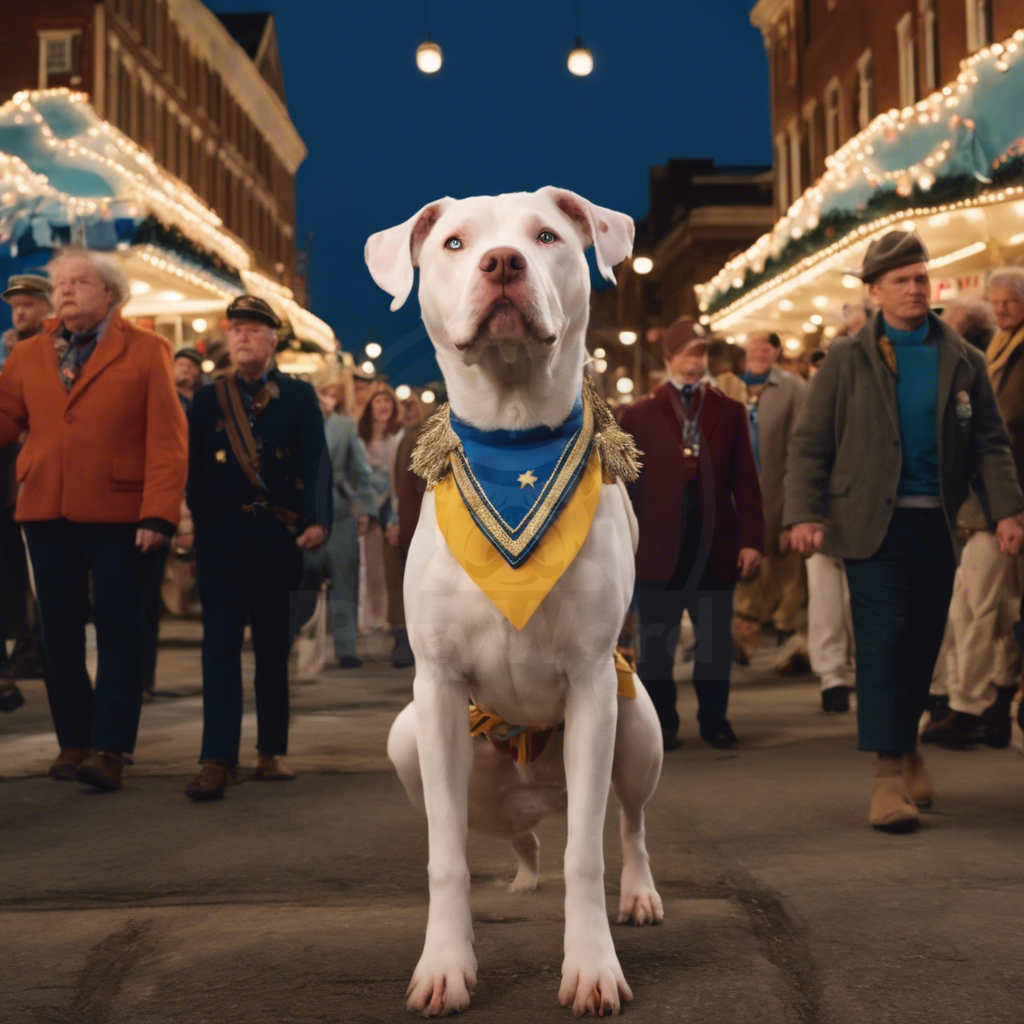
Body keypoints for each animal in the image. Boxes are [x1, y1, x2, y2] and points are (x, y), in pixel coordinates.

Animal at [368, 190, 663, 1015]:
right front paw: (445, 965)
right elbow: (445, 857)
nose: (503, 263)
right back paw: (524, 870)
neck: (514, 441)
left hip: (638, 727)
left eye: (547, 236)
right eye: (456, 243)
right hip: (413, 746)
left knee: (627, 822)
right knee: (515, 836)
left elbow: (586, 857)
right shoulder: (436, 689)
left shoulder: (592, 682)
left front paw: (592, 967)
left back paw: (639, 894)